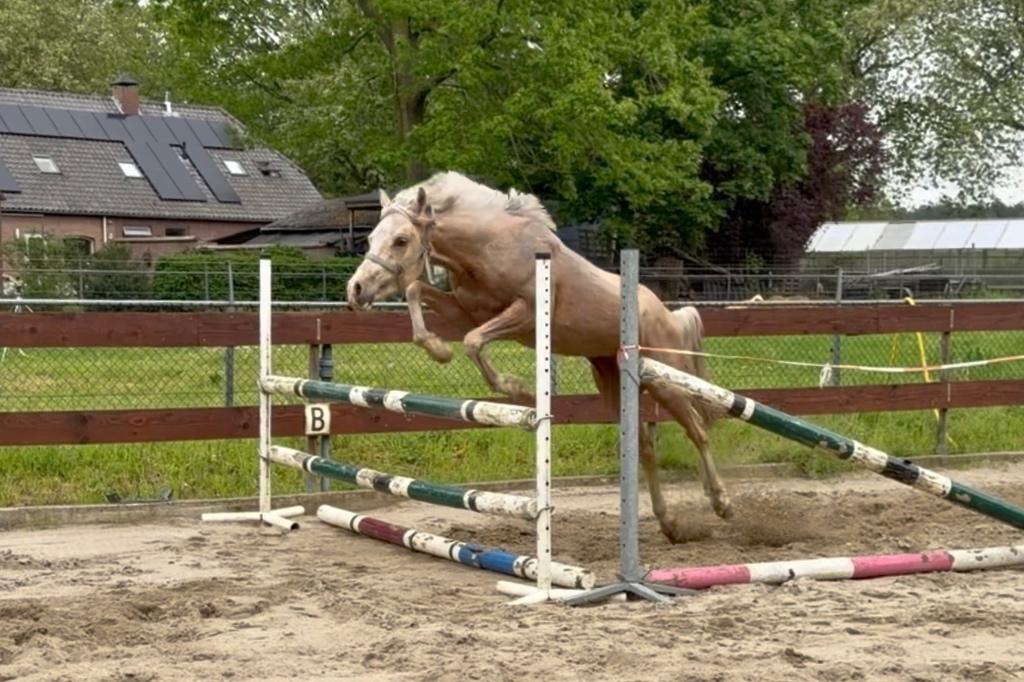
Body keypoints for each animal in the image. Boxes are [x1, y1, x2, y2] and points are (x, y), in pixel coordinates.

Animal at [345, 172, 732, 542]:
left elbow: (472, 342)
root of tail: (668, 314)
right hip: (614, 381)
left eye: (401, 240)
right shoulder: (466, 312)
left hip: (665, 381)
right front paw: (439, 349)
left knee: (698, 430)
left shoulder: (525, 314)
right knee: (646, 447)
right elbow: (417, 292)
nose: (356, 289)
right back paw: (670, 524)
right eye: (371, 239)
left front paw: (519, 390)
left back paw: (721, 502)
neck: (484, 248)